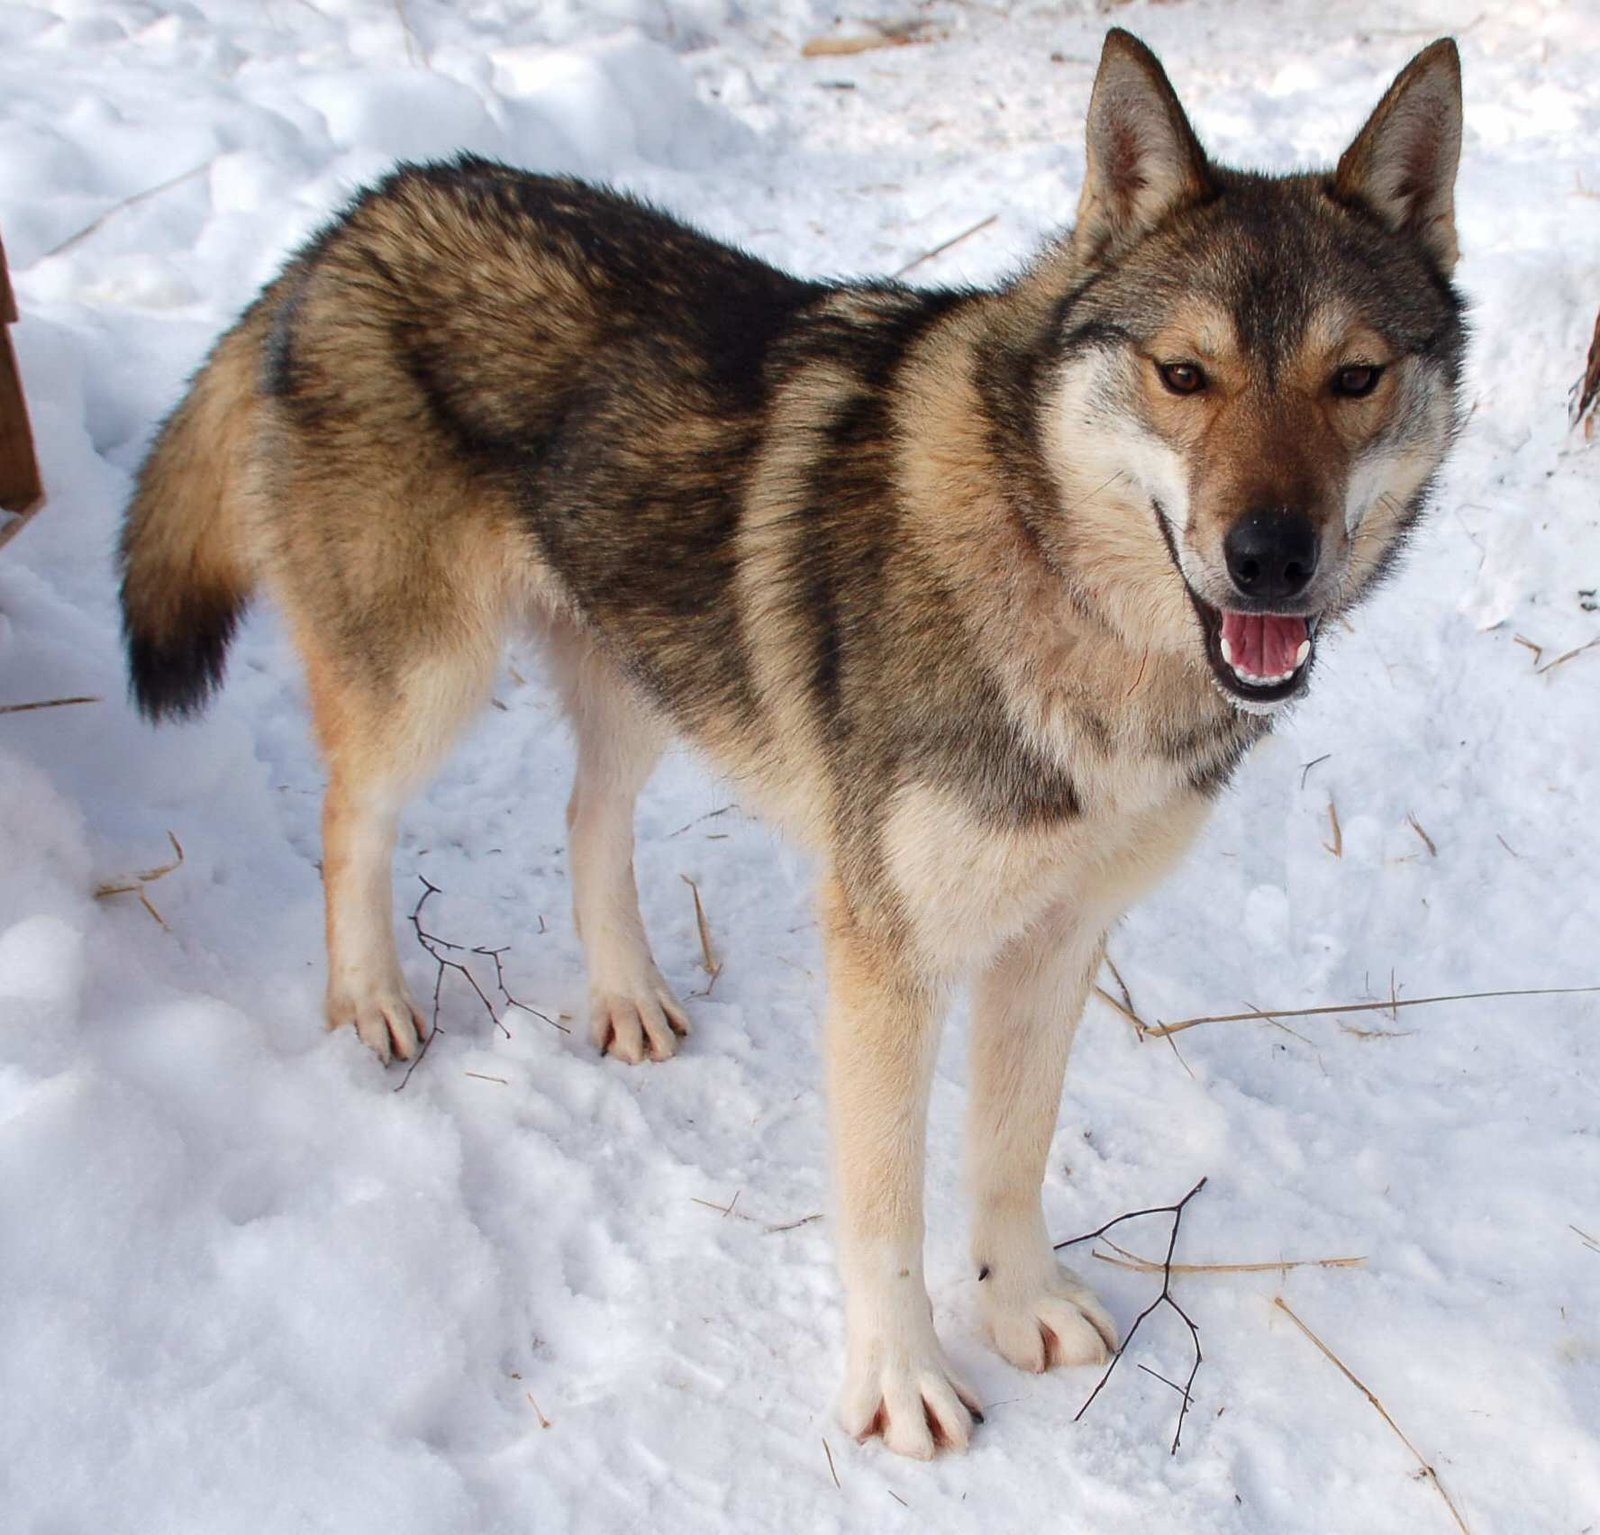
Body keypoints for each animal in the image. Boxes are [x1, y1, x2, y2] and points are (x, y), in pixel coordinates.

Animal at [119, 30, 1466, 1457]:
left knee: (585, 820)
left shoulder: (1055, 940)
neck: (1062, 593)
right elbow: (884, 1211)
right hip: (425, 683)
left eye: (1354, 378)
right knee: (351, 823)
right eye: (1183, 374)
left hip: (645, 669)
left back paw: (627, 999)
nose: (1270, 559)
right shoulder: (890, 958)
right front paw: (901, 1383)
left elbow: (1008, 1156)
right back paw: (370, 998)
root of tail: (356, 213)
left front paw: (1018, 1306)